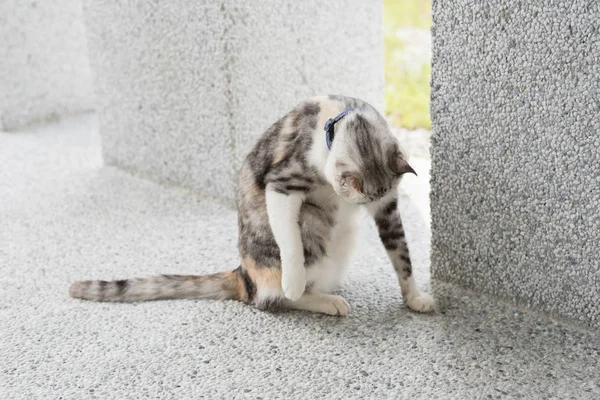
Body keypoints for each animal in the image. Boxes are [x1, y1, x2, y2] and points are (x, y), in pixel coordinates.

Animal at [69, 94, 436, 316]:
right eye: (359, 195)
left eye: (376, 198)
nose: (358, 200)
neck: (341, 119)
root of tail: (243, 274)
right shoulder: (282, 185)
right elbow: (289, 242)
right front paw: (294, 280)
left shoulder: (387, 208)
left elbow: (402, 255)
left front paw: (415, 297)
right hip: (311, 222)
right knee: (272, 298)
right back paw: (322, 299)